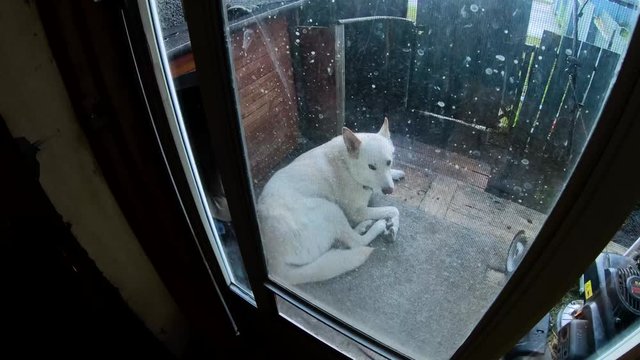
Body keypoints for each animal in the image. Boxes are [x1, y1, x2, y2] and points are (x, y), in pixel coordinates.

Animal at [256, 118, 402, 284]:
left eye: (389, 162)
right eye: (371, 167)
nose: (389, 191)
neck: (347, 165)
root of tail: (274, 260)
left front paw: (396, 173)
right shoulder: (357, 212)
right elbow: (394, 209)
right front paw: (392, 226)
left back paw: (363, 226)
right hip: (330, 210)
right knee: (356, 242)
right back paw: (376, 225)